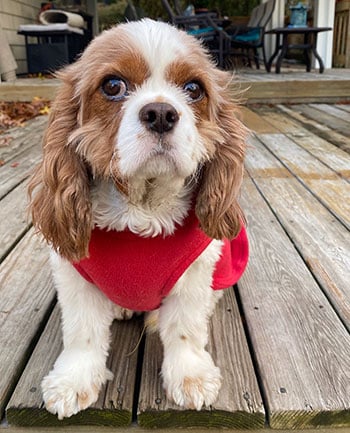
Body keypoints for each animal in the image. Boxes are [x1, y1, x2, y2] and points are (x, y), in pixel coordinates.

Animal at [28, 18, 249, 416]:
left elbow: (186, 326)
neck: (141, 207)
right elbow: (82, 331)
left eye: (194, 89)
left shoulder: (196, 273)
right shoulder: (74, 275)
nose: (161, 113)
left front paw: (190, 376)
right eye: (112, 86)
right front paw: (74, 380)